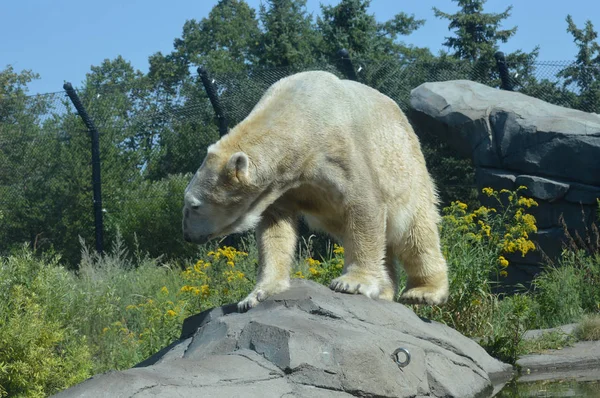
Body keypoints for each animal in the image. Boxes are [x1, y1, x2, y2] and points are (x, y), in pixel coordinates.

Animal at [183, 70, 450, 310]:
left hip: (409, 172)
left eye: (194, 205)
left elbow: (363, 205)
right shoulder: (282, 186)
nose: (187, 235)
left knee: (416, 233)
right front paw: (257, 294)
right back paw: (384, 290)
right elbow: (275, 228)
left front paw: (352, 283)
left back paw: (423, 292)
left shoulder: (341, 153)